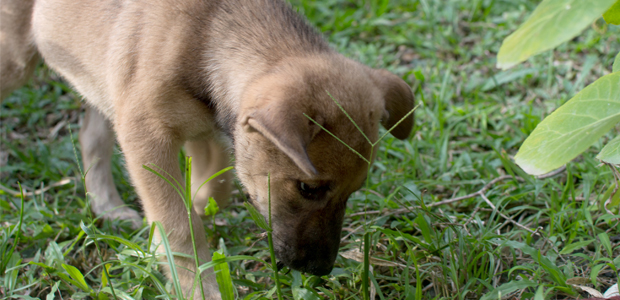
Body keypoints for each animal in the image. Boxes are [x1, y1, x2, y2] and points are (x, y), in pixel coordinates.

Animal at [1, 0, 416, 298]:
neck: (208, 36)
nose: (320, 269)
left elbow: (211, 189)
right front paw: (199, 286)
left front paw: (184, 223)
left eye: (353, 192)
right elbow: (178, 223)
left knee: (91, 135)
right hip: (16, 59)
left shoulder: (208, 129)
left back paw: (107, 206)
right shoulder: (146, 136)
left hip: (103, 82)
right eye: (307, 188)